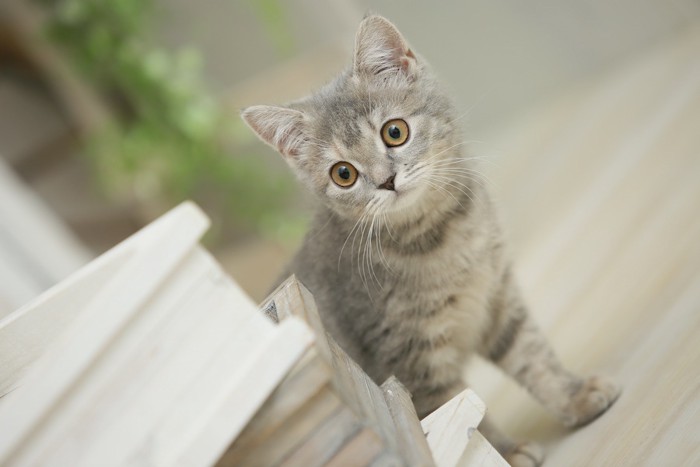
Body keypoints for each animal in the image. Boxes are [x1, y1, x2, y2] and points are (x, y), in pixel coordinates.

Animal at [241, 14, 616, 467]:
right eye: (343, 174)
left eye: (394, 132)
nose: (386, 180)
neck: (442, 238)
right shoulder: (409, 358)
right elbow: (461, 408)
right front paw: (503, 452)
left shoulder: (497, 297)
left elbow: (532, 356)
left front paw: (574, 397)